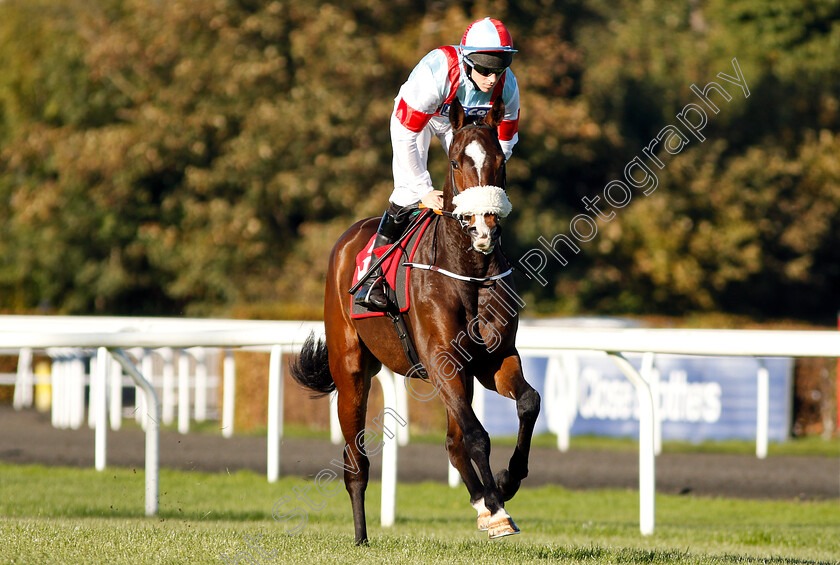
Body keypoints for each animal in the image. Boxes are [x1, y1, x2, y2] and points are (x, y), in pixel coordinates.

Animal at [288, 96, 540, 540]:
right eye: (456, 161)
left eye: (499, 161)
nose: (484, 230)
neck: (469, 271)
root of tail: (349, 239)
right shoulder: (440, 360)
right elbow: (477, 435)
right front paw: (498, 508)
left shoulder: (491, 359)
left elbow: (528, 402)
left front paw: (507, 483)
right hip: (350, 369)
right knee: (356, 461)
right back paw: (361, 536)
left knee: (453, 443)